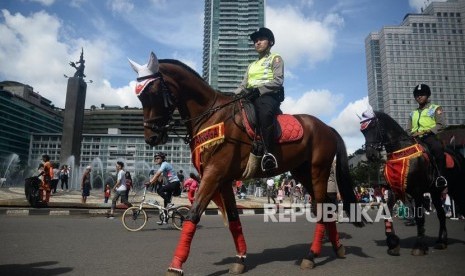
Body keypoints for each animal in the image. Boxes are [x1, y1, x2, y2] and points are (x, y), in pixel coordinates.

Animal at [128, 52, 362, 276]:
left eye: (153, 92)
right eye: (139, 96)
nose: (151, 137)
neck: (213, 116)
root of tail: (327, 127)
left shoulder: (213, 174)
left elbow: (193, 215)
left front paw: (175, 266)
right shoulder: (223, 180)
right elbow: (233, 219)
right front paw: (240, 259)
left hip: (318, 170)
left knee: (322, 207)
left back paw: (311, 256)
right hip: (302, 172)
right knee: (327, 206)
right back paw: (337, 247)